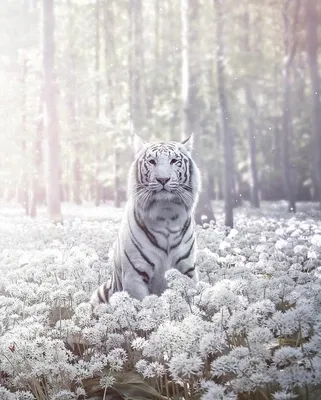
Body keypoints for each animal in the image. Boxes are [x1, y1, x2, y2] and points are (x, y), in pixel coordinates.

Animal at [90, 133, 200, 304]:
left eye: (174, 161)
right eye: (152, 161)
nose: (163, 179)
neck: (166, 213)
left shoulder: (187, 271)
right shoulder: (135, 275)